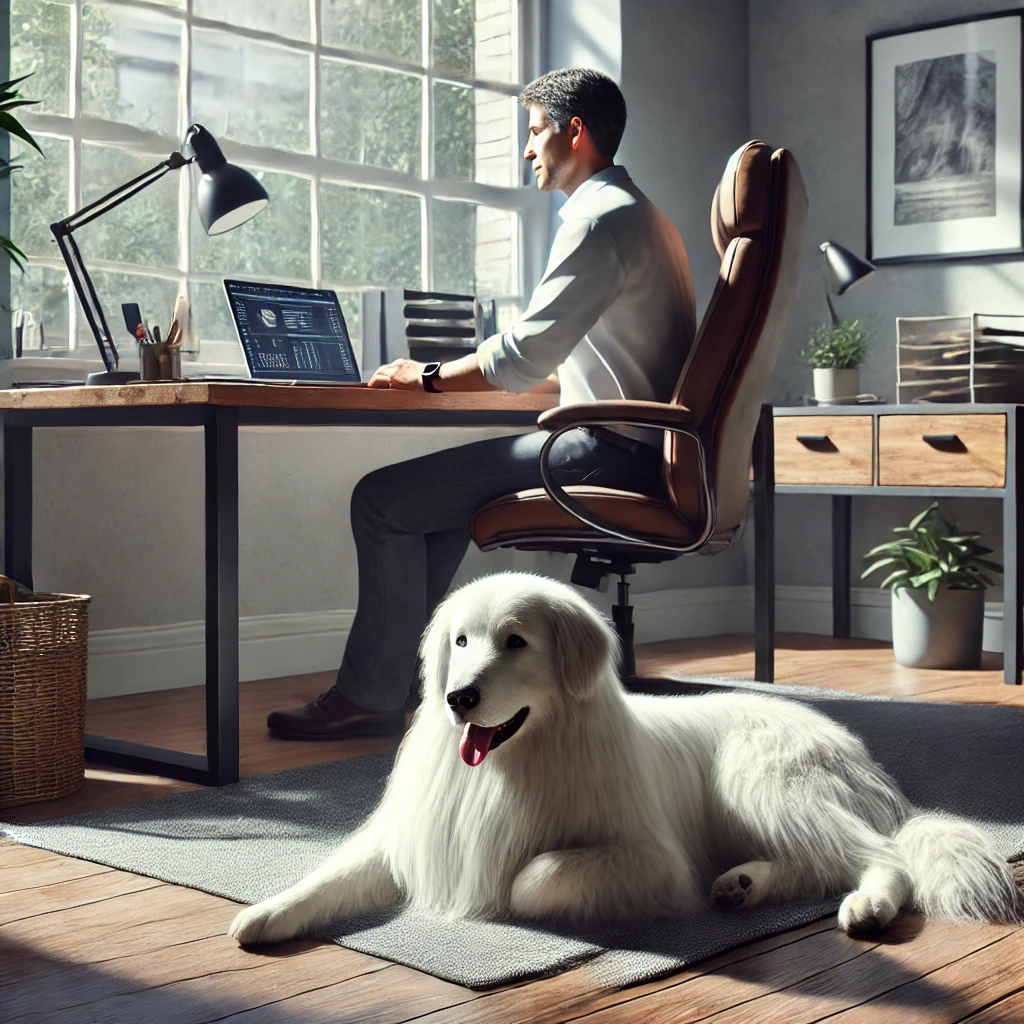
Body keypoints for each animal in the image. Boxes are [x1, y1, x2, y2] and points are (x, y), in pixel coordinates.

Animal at [228, 569, 1019, 942]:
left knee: (885, 858)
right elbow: (328, 876)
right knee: (822, 863)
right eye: (460, 640)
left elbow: (531, 877)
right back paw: (743, 885)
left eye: (515, 641)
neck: (517, 762)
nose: (457, 697)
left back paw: (865, 909)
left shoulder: (647, 856)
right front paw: (262, 918)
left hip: (761, 786)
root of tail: (860, 754)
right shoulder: (407, 833)